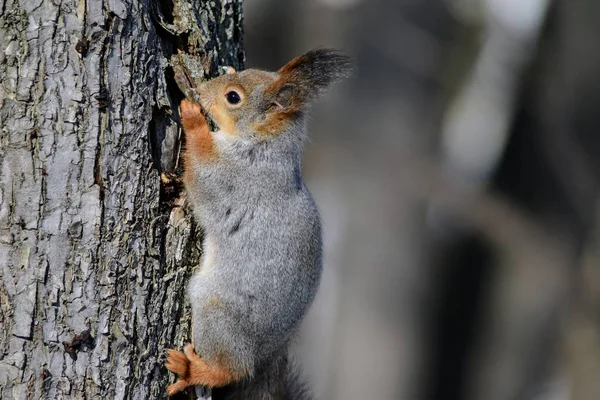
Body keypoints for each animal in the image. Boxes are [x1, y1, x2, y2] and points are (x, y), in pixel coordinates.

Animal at [164, 48, 352, 398]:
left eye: (233, 97)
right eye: (236, 71)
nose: (201, 89)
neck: (265, 144)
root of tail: (267, 356)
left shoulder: (237, 178)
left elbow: (203, 172)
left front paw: (193, 118)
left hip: (217, 309)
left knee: (232, 369)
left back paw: (192, 368)